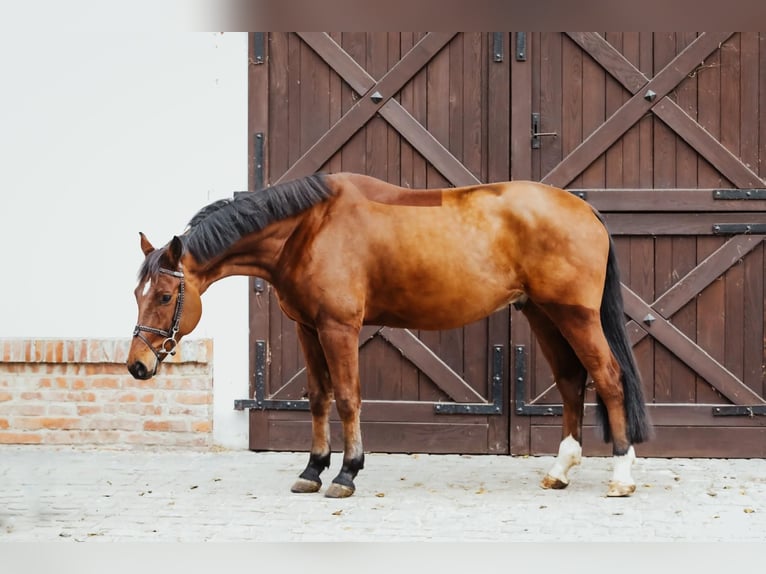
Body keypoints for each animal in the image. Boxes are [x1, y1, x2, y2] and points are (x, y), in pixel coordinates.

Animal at [127, 171, 656, 500]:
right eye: (137, 292)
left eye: (165, 295)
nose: (137, 364)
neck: (309, 228)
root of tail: (585, 211)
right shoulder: (307, 328)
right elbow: (318, 397)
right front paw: (311, 470)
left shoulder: (339, 327)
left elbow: (347, 398)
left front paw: (346, 472)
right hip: (544, 315)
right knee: (571, 381)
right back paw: (559, 472)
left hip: (576, 316)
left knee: (608, 378)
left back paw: (622, 476)